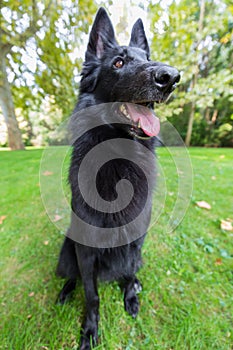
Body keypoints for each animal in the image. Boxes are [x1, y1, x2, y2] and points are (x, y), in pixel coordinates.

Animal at [56, 6, 180, 348]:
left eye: (147, 57)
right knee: (71, 276)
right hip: (67, 247)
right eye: (119, 63)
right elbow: (92, 295)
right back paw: (64, 292)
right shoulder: (86, 251)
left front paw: (130, 298)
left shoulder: (136, 240)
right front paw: (89, 329)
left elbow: (127, 271)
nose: (171, 77)